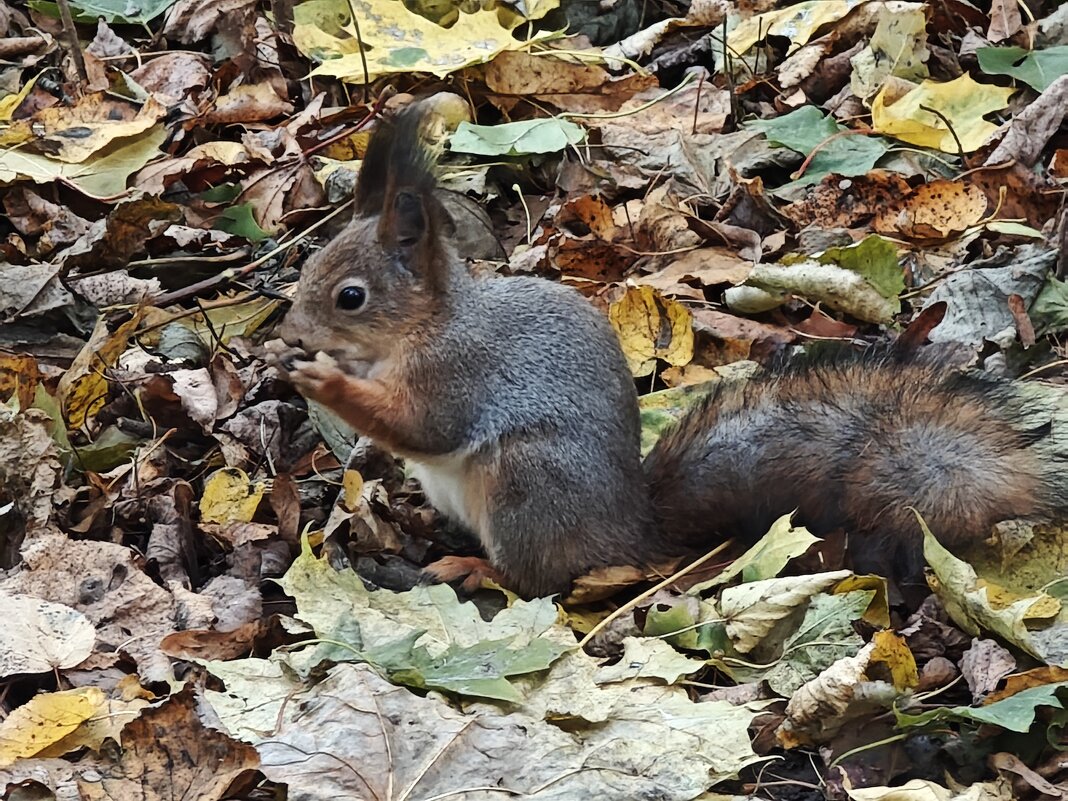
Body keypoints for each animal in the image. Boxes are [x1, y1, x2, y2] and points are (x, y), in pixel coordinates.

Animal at [271, 103, 1068, 598]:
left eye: (350, 297)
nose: (292, 335)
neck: (423, 328)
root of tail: (629, 531)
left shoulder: (457, 374)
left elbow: (423, 425)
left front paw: (322, 382)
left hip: (527, 483)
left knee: (540, 580)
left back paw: (474, 567)